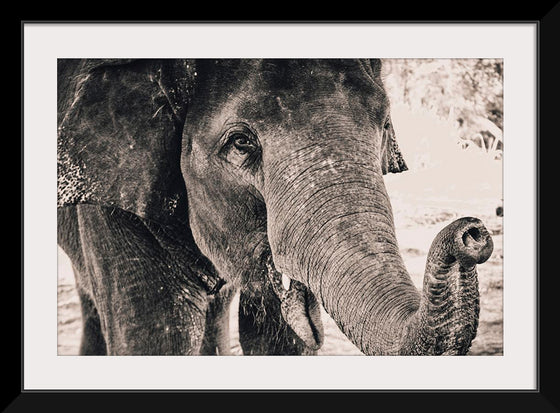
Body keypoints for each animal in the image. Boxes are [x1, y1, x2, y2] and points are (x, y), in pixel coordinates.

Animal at [58, 58, 494, 354]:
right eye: (240, 143)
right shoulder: (115, 190)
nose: (472, 232)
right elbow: (156, 339)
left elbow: (276, 341)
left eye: (385, 126)